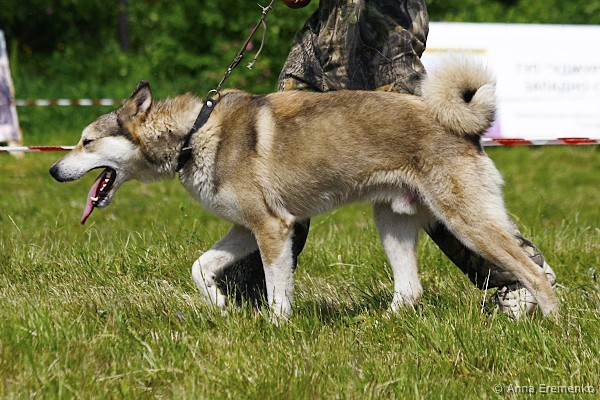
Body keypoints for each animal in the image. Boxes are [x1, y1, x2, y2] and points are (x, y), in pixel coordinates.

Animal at [50, 58, 556, 322]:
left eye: (86, 141)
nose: (54, 169)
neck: (195, 133)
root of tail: (462, 126)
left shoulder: (273, 229)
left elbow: (277, 292)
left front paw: (275, 329)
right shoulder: (245, 229)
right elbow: (200, 268)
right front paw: (221, 306)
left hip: (466, 222)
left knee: (533, 272)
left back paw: (548, 325)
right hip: (391, 220)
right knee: (410, 291)